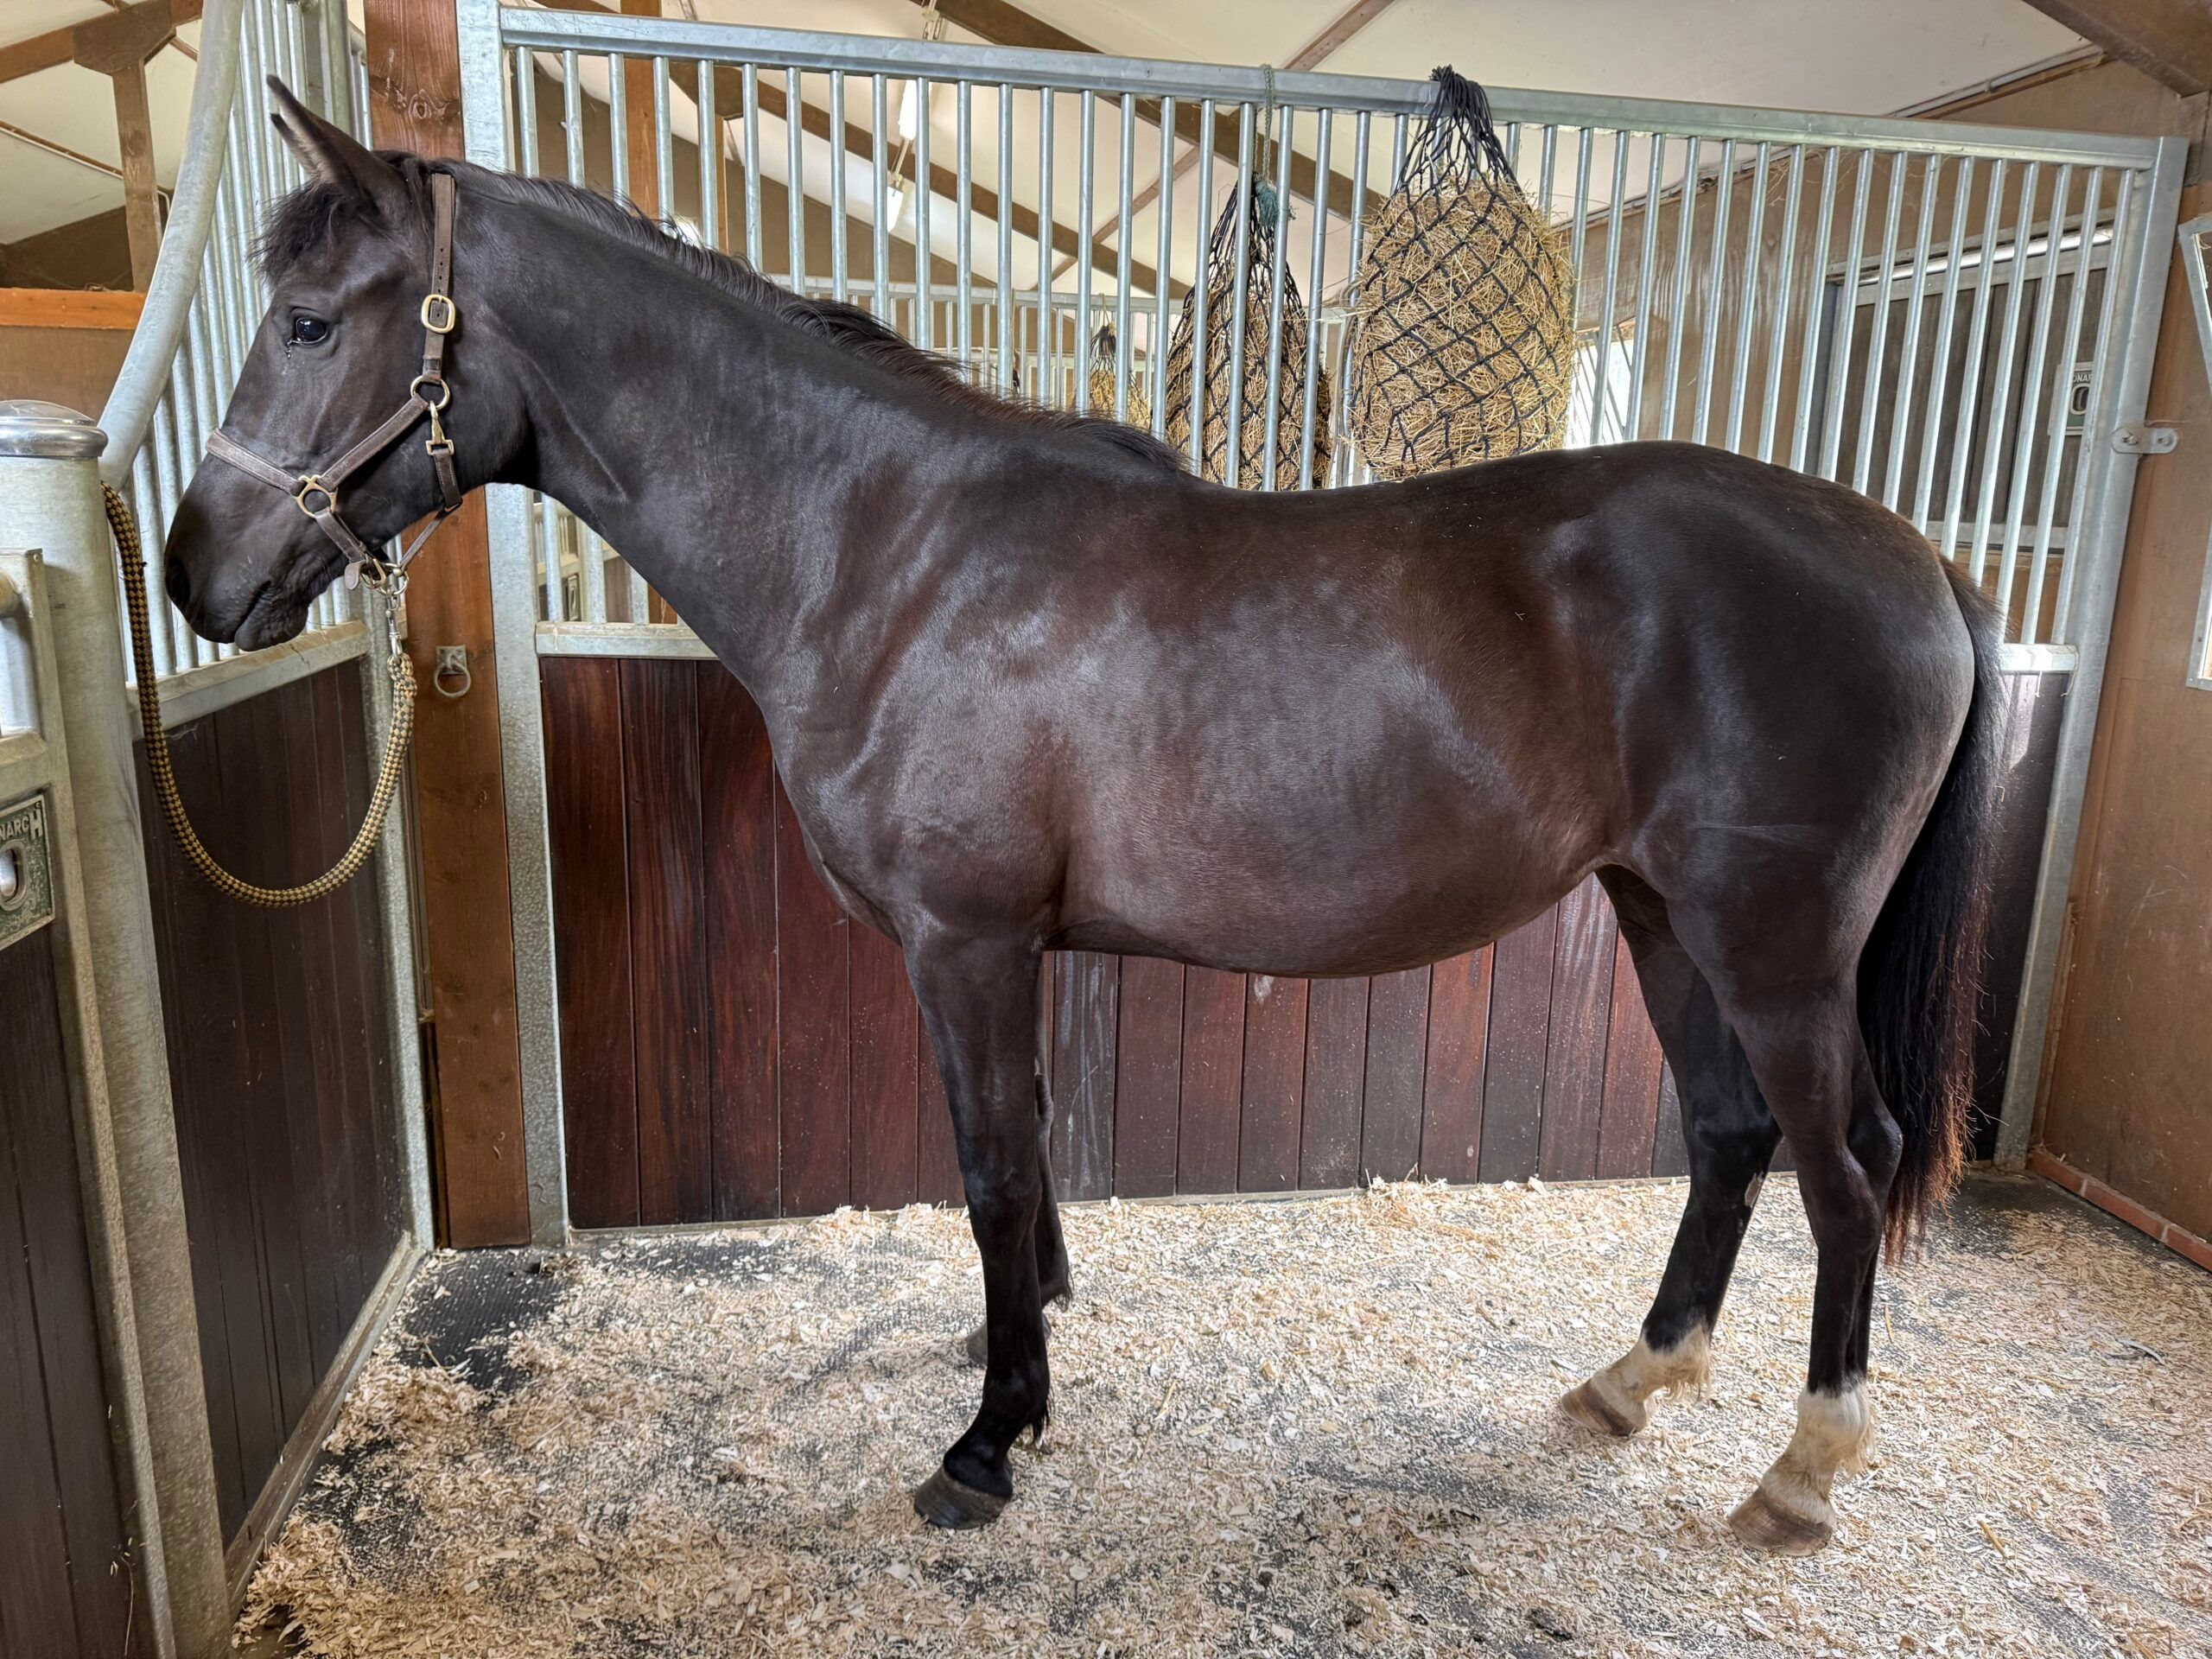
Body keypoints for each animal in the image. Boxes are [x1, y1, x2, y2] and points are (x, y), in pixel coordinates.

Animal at [164, 80, 2002, 1555]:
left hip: (1774, 946)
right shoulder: (1012, 948)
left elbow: (989, 1163)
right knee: (1732, 1136)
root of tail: (1917, 558)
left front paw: (987, 1442)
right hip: (1658, 912)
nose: (194, 577)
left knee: (1849, 1164)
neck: (891, 549)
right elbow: (1031, 1152)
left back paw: (1801, 1475)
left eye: (312, 322)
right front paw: (1022, 1350)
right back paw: (1630, 1382)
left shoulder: (965, 939)